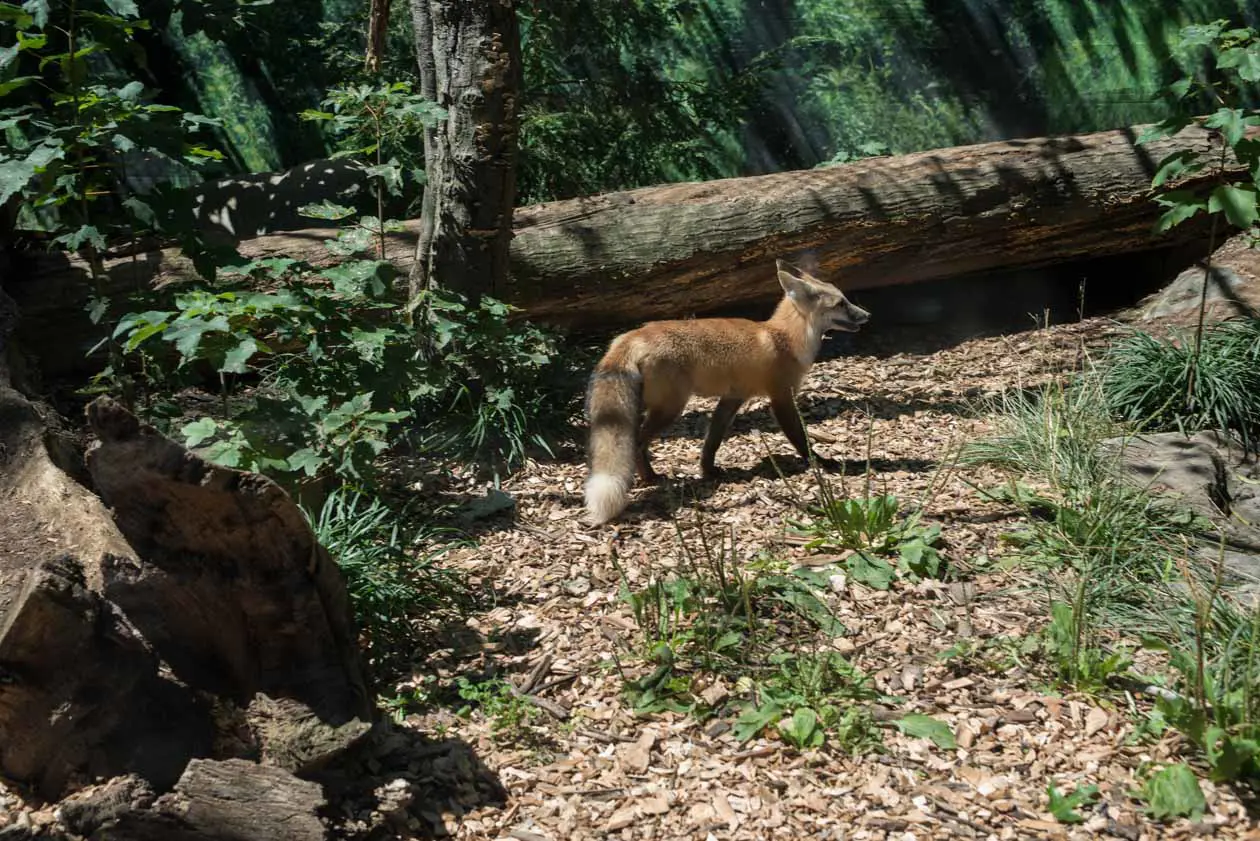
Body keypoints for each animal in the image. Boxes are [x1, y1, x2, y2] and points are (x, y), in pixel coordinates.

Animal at [584, 261, 871, 527]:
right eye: (841, 303)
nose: (867, 314)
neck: (785, 339)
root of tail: (632, 336)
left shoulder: (733, 398)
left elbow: (712, 440)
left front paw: (708, 471)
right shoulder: (781, 397)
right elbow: (801, 439)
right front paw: (821, 463)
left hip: (643, 405)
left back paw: (650, 477)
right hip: (670, 408)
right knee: (636, 443)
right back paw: (649, 479)